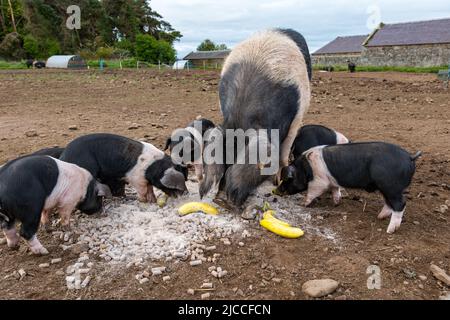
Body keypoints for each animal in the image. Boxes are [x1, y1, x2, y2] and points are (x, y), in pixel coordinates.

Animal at [278, 142, 422, 232]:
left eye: (288, 179)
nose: (277, 191)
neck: (305, 168)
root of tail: (410, 157)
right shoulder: (332, 182)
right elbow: (335, 190)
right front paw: (336, 203)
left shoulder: (319, 182)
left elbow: (312, 192)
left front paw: (303, 204)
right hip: (386, 188)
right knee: (389, 203)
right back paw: (379, 217)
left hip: (391, 186)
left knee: (400, 204)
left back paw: (390, 230)